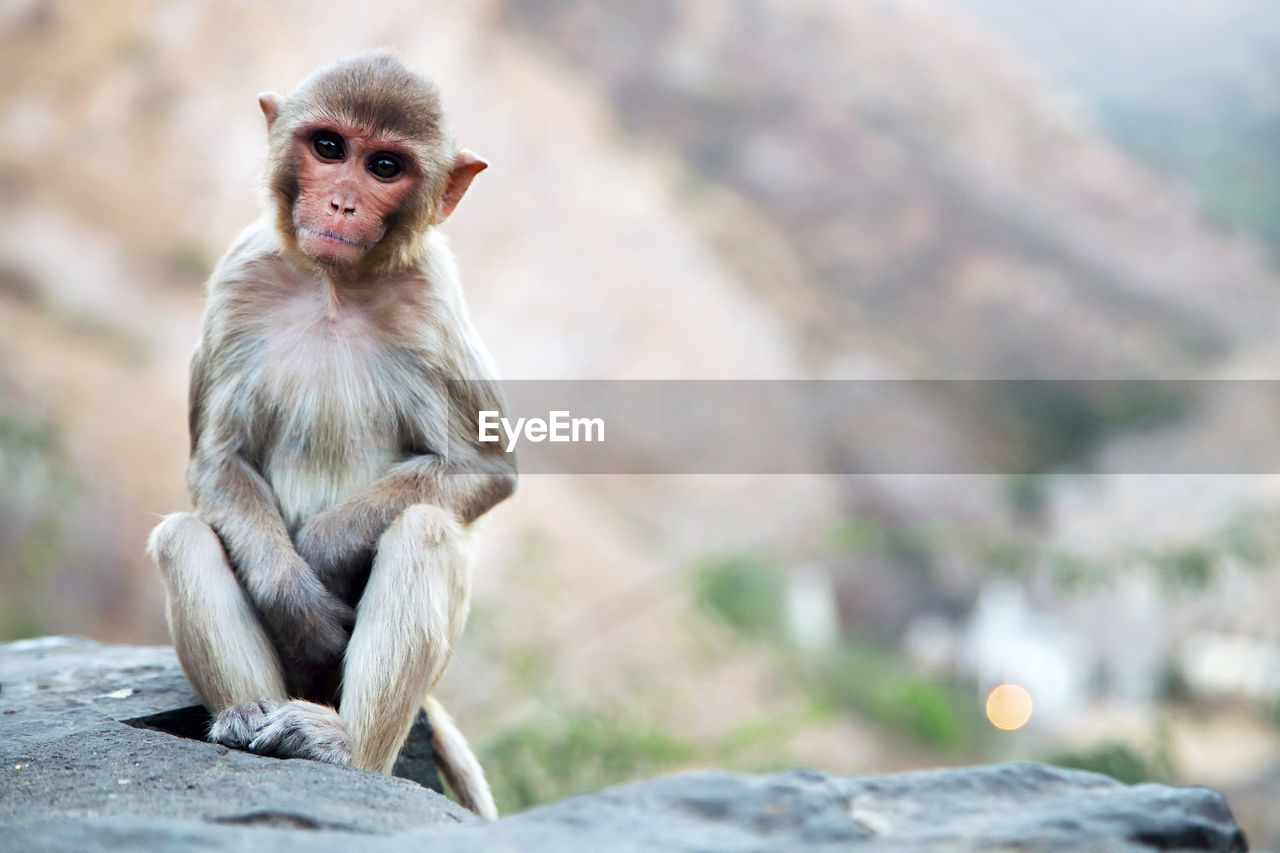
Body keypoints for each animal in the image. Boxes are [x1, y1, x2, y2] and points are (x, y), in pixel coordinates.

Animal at [146, 51, 514, 819]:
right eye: (328, 147)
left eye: (384, 166)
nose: (342, 204)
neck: (334, 287)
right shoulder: (238, 277)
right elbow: (218, 459)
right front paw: (297, 595)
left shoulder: (433, 300)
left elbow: (484, 465)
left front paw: (321, 548)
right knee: (186, 536)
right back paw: (249, 715)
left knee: (424, 530)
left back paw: (343, 748)